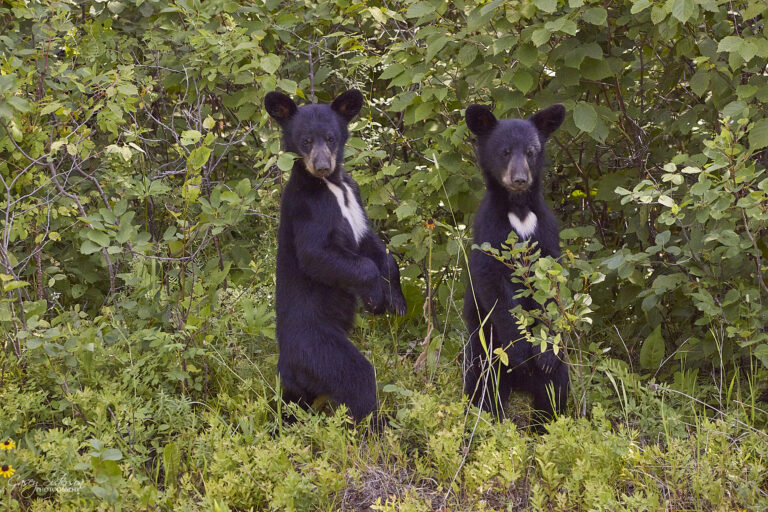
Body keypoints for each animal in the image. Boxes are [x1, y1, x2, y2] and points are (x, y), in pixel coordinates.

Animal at [264, 89, 407, 426]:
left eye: (330, 137)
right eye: (305, 140)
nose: (321, 165)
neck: (332, 187)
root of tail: (288, 365)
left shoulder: (354, 197)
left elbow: (375, 247)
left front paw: (395, 300)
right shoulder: (309, 210)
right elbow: (318, 254)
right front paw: (374, 298)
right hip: (319, 348)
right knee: (357, 377)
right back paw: (377, 426)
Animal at [462, 102, 568, 428]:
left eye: (531, 151)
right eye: (505, 151)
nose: (520, 178)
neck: (519, 209)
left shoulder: (546, 230)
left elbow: (553, 284)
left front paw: (543, 354)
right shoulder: (489, 231)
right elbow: (493, 286)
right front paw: (521, 349)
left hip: (556, 373)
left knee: (555, 391)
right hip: (484, 353)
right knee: (482, 391)